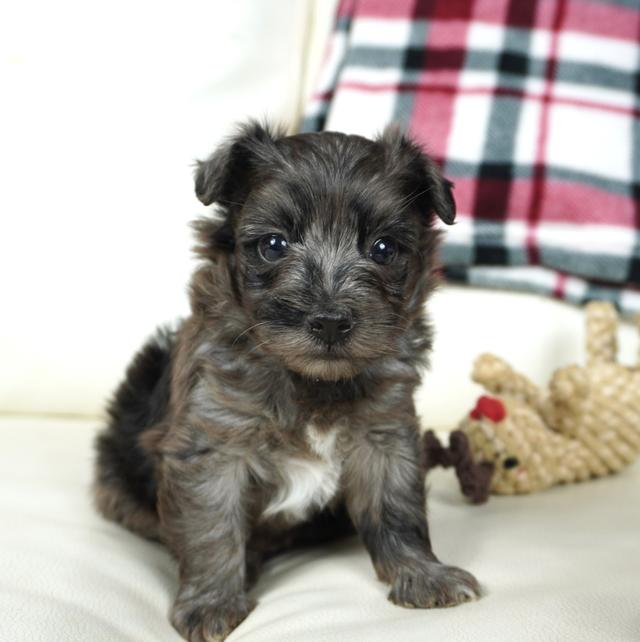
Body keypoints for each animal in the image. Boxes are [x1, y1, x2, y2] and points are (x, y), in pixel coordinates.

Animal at [92, 122, 478, 636]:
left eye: (383, 249)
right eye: (274, 245)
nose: (330, 321)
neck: (311, 380)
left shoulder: (385, 433)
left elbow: (398, 508)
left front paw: (422, 574)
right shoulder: (215, 442)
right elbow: (213, 526)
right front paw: (212, 602)